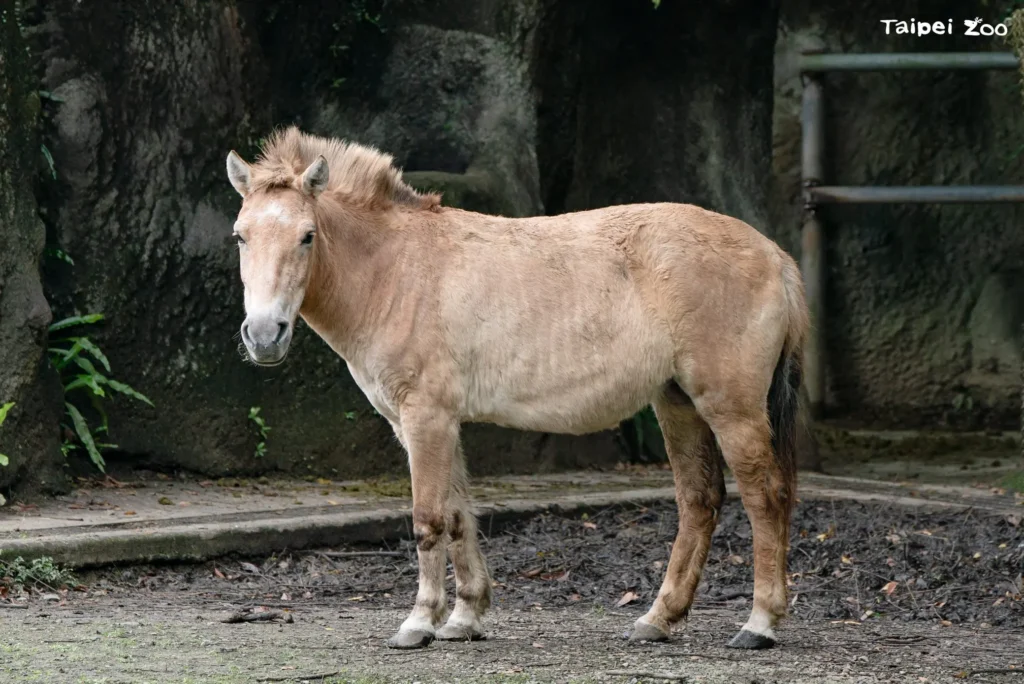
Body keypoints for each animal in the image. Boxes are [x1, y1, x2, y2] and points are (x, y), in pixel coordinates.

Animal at [224, 126, 809, 651]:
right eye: (240, 235)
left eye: (307, 235)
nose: (264, 335)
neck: (396, 271)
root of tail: (776, 256)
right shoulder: (433, 424)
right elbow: (459, 516)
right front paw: (464, 619)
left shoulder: (425, 418)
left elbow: (429, 520)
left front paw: (418, 624)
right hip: (677, 404)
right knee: (699, 501)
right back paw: (657, 620)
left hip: (731, 408)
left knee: (765, 497)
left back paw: (759, 625)